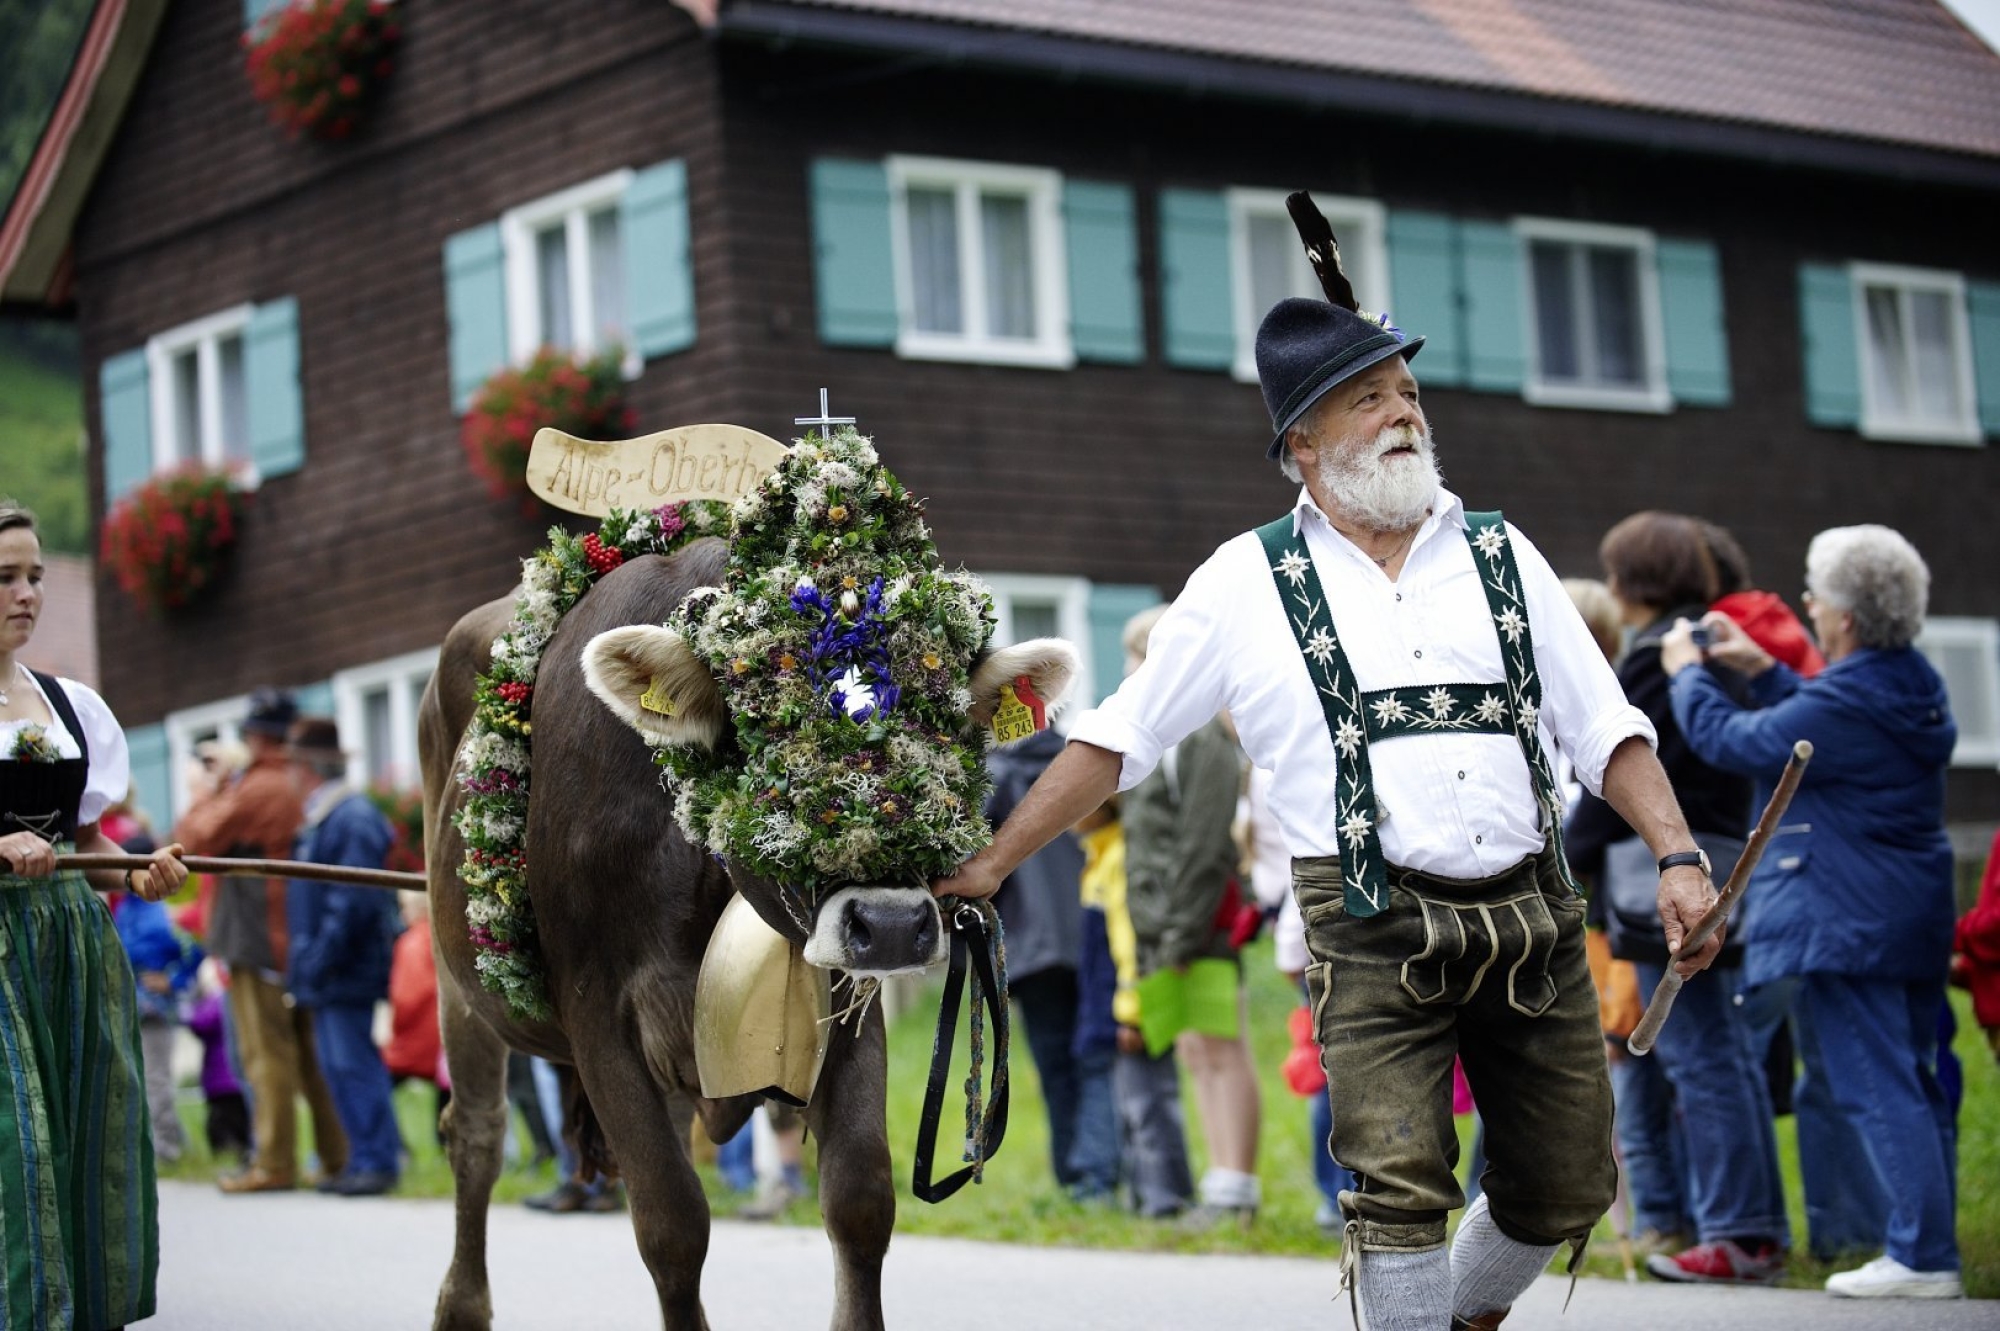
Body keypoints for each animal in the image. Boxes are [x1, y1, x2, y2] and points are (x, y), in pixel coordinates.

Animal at [419, 469, 1076, 1331]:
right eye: (765, 735)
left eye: (948, 733)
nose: (893, 925)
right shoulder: (599, 1014)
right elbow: (671, 1224)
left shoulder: (845, 998)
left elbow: (860, 1201)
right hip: (456, 981)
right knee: (475, 1135)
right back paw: (461, 1302)